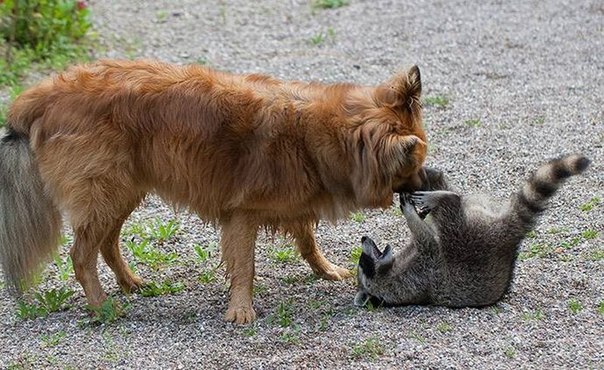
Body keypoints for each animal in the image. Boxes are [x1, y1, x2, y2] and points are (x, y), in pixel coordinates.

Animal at [0, 59, 428, 322]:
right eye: (414, 166)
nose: (427, 191)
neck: (318, 134)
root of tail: (38, 97)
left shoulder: (288, 205)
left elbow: (308, 242)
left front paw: (325, 270)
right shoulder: (243, 214)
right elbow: (245, 266)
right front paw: (241, 310)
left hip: (121, 193)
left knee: (106, 243)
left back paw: (130, 283)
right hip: (104, 194)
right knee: (81, 255)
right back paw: (103, 306)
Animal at [354, 155, 588, 308]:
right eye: (364, 262)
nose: (364, 237)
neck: (390, 269)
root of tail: (507, 242)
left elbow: (425, 237)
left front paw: (417, 213)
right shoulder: (415, 278)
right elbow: (428, 243)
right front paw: (411, 213)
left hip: (476, 214)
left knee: (446, 211)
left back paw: (431, 177)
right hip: (469, 238)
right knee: (451, 215)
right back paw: (445, 197)